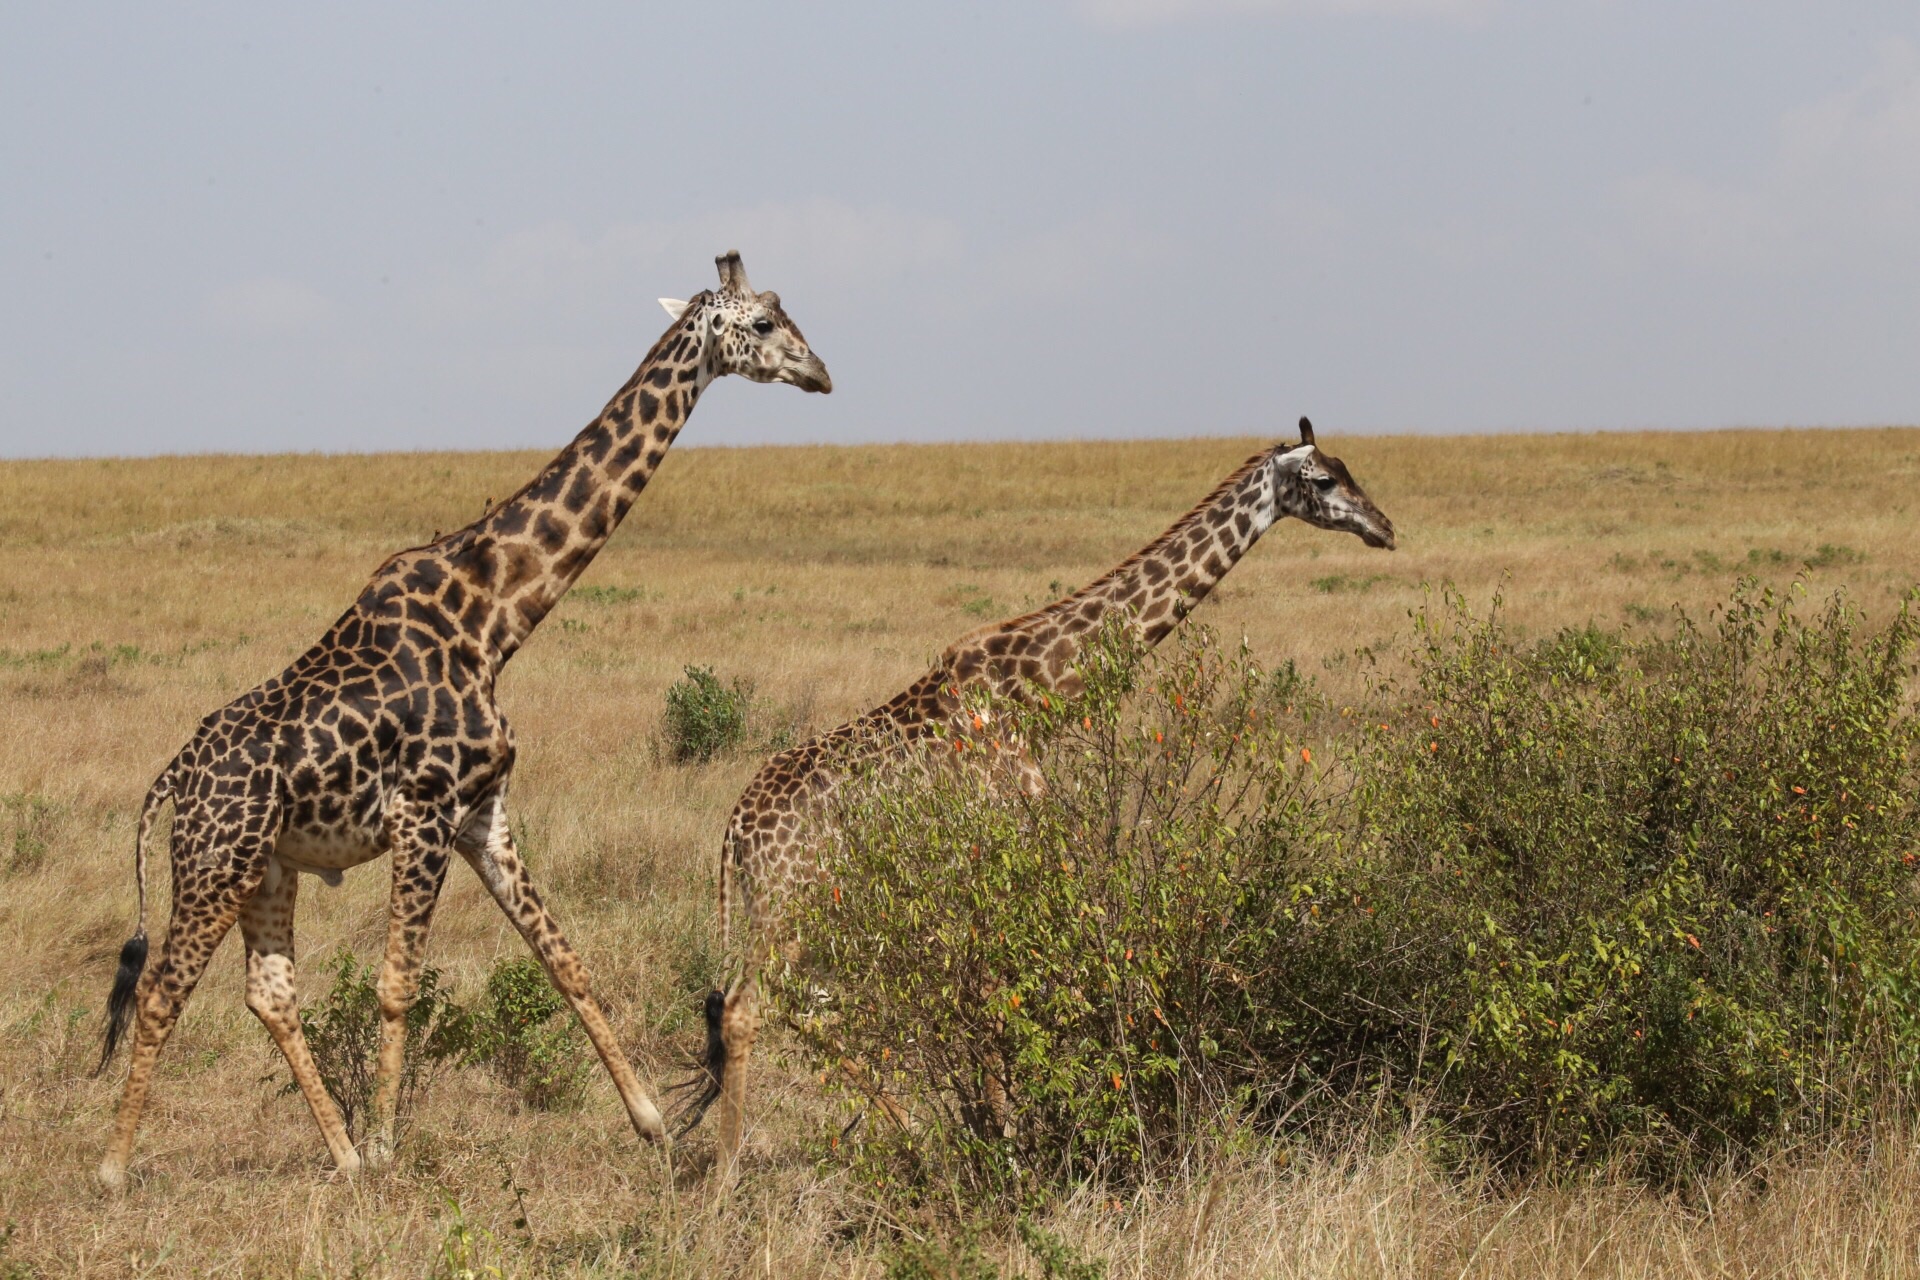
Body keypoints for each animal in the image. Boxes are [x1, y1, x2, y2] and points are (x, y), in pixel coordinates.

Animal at [90, 249, 829, 1189]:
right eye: (764, 324)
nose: (822, 374)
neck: (493, 618)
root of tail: (171, 782)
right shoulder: (425, 812)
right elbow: (397, 983)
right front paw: (387, 1144)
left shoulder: (484, 815)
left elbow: (565, 958)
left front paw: (655, 1124)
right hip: (215, 865)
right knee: (162, 990)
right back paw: (118, 1169)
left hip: (268, 868)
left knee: (270, 992)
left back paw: (338, 1158)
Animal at [672, 418, 1397, 1174]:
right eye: (1324, 480)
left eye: (1351, 469)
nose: (1385, 527)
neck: (1038, 692)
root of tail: (733, 829)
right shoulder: (1017, 835)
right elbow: (1028, 984)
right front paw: (1025, 1142)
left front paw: (1016, 1133)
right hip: (788, 904)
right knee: (747, 1010)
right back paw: (728, 1174)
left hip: (816, 911)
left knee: (799, 1007)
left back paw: (907, 1135)